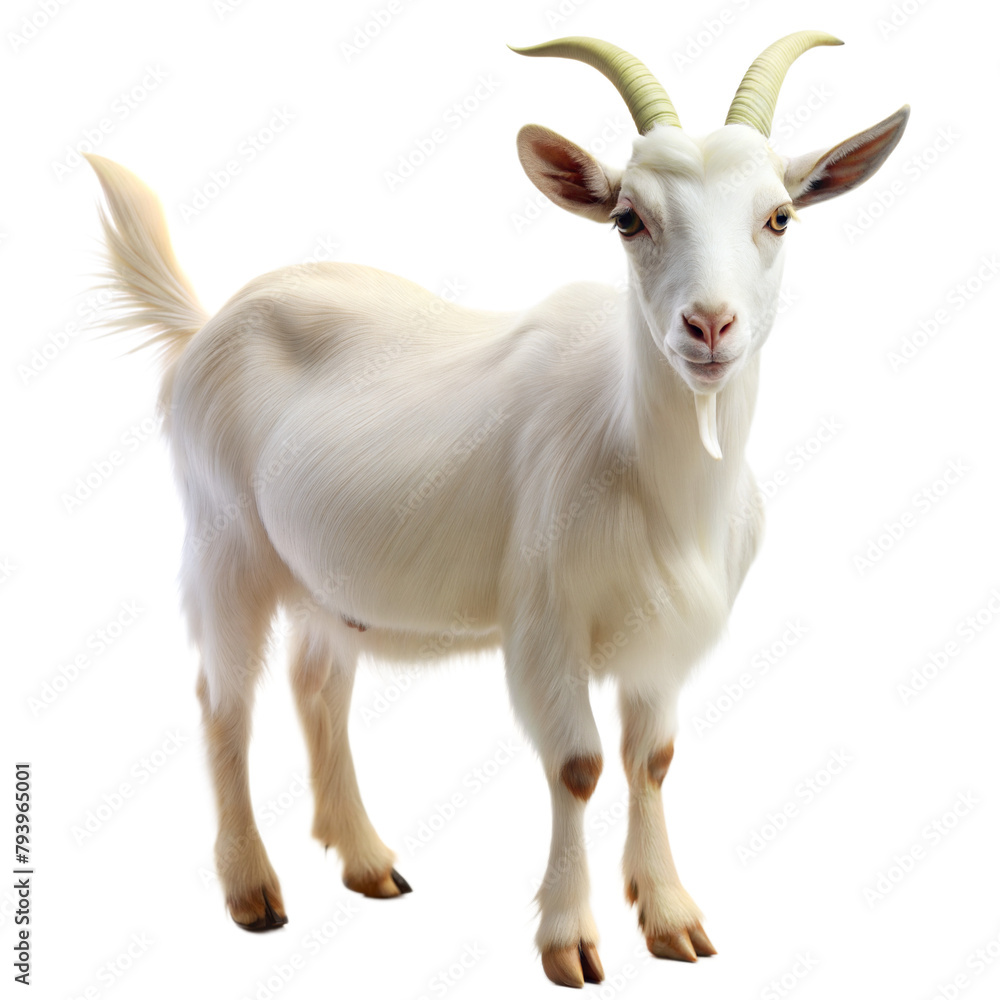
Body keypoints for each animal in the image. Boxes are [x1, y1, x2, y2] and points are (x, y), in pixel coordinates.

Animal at [85, 31, 908, 988]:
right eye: (628, 219)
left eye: (779, 216)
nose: (708, 327)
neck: (643, 465)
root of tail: (207, 323)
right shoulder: (543, 616)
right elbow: (580, 765)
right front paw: (570, 941)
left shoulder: (660, 637)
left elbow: (653, 759)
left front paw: (670, 917)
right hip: (225, 545)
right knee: (224, 699)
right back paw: (253, 891)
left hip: (325, 576)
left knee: (318, 687)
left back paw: (367, 860)